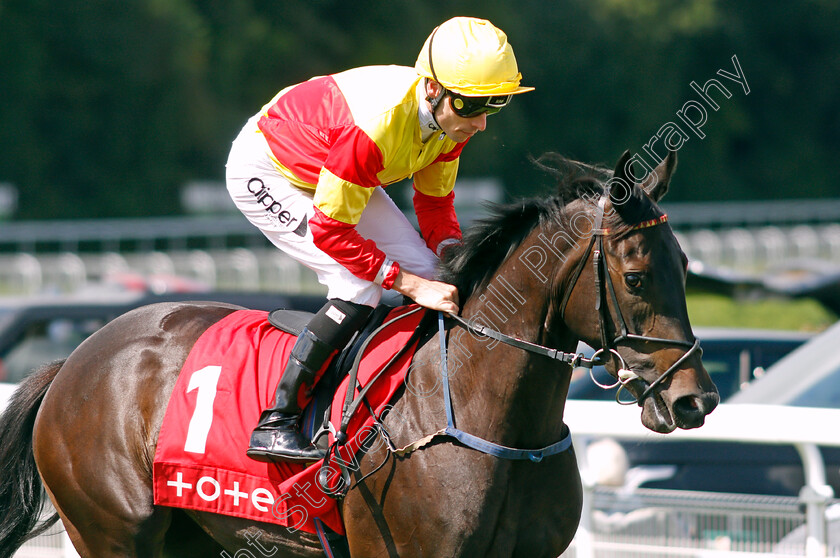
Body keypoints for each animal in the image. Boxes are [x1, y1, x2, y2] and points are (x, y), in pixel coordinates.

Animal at [0, 151, 720, 556]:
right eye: (635, 277)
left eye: (686, 268)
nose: (695, 399)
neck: (488, 418)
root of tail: (72, 363)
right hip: (113, 532)